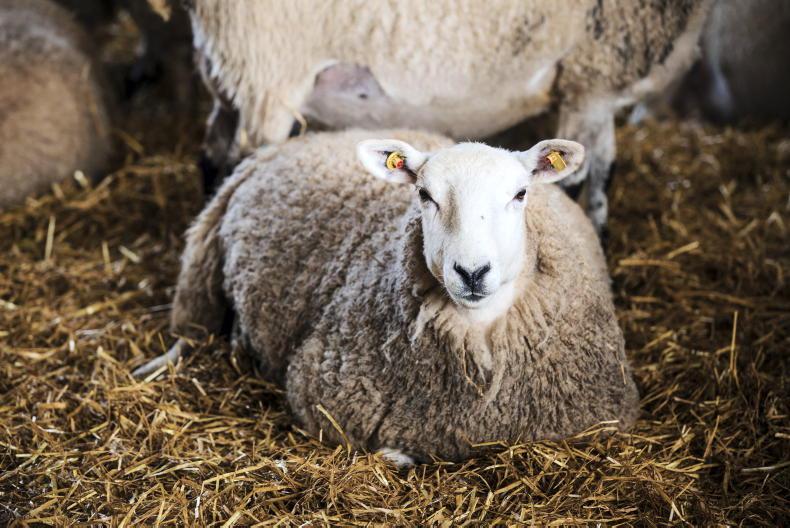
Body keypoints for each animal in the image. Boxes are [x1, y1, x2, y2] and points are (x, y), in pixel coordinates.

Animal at [133, 128, 640, 464]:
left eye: (520, 194)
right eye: (424, 195)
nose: (472, 272)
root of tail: (300, 139)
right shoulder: (322, 397)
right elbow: (387, 452)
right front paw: (398, 455)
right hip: (202, 263)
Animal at [188, 0, 712, 235]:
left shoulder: (596, 91)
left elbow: (603, 171)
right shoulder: (591, 80)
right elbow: (577, 183)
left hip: (228, 72)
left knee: (213, 154)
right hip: (268, 68)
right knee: (242, 163)